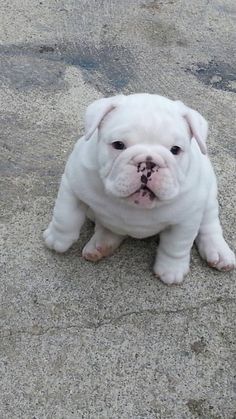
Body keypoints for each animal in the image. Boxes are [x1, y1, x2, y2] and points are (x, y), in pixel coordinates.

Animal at [43, 94, 235, 286]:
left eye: (175, 149)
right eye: (118, 144)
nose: (148, 163)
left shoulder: (186, 219)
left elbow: (176, 245)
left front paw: (171, 270)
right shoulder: (73, 187)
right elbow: (65, 217)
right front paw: (56, 240)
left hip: (209, 198)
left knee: (209, 225)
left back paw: (219, 252)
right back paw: (101, 244)